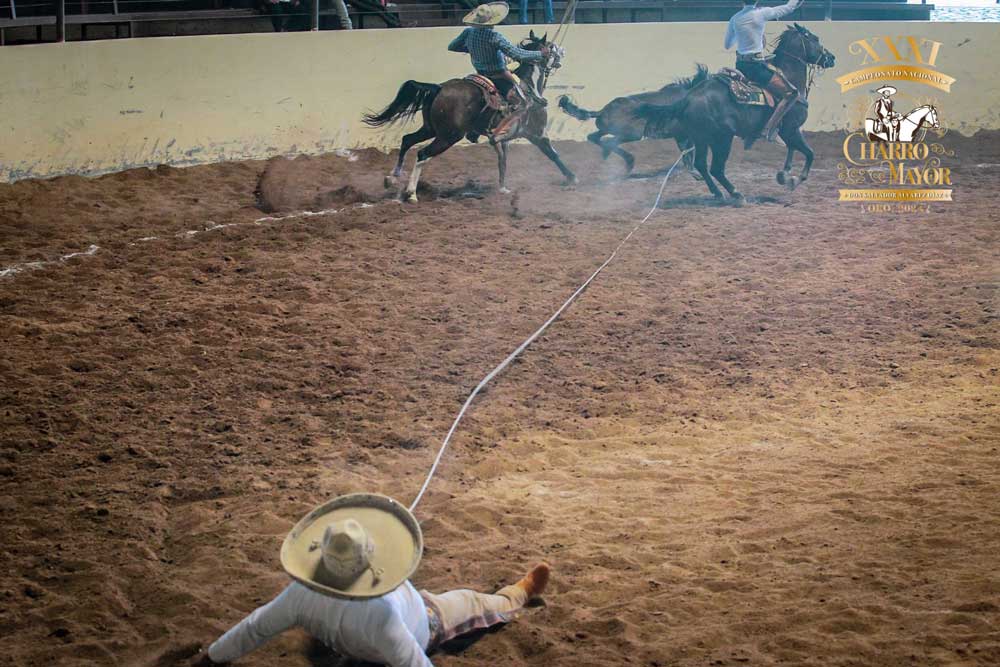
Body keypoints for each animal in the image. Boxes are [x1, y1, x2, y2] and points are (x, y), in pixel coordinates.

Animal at [364, 32, 576, 204]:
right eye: (552, 46)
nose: (561, 56)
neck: (528, 87)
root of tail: (439, 88)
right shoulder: (537, 133)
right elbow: (553, 154)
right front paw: (572, 177)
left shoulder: (504, 139)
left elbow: (503, 162)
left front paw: (503, 188)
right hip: (449, 136)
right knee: (423, 154)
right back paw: (411, 193)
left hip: (431, 128)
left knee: (407, 140)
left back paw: (392, 178)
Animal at [556, 65, 712, 179]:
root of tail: (602, 111)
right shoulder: (683, 135)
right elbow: (688, 154)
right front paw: (696, 174)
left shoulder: (683, 136)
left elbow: (688, 154)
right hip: (633, 134)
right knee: (610, 142)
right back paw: (625, 160)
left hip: (608, 129)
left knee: (594, 137)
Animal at [640, 24, 836, 201]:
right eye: (816, 39)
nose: (831, 58)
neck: (790, 78)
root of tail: (688, 98)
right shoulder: (791, 129)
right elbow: (809, 153)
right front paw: (794, 180)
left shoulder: (788, 131)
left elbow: (793, 149)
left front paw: (784, 175)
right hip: (722, 138)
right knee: (716, 168)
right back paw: (736, 194)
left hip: (702, 138)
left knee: (702, 165)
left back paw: (718, 193)